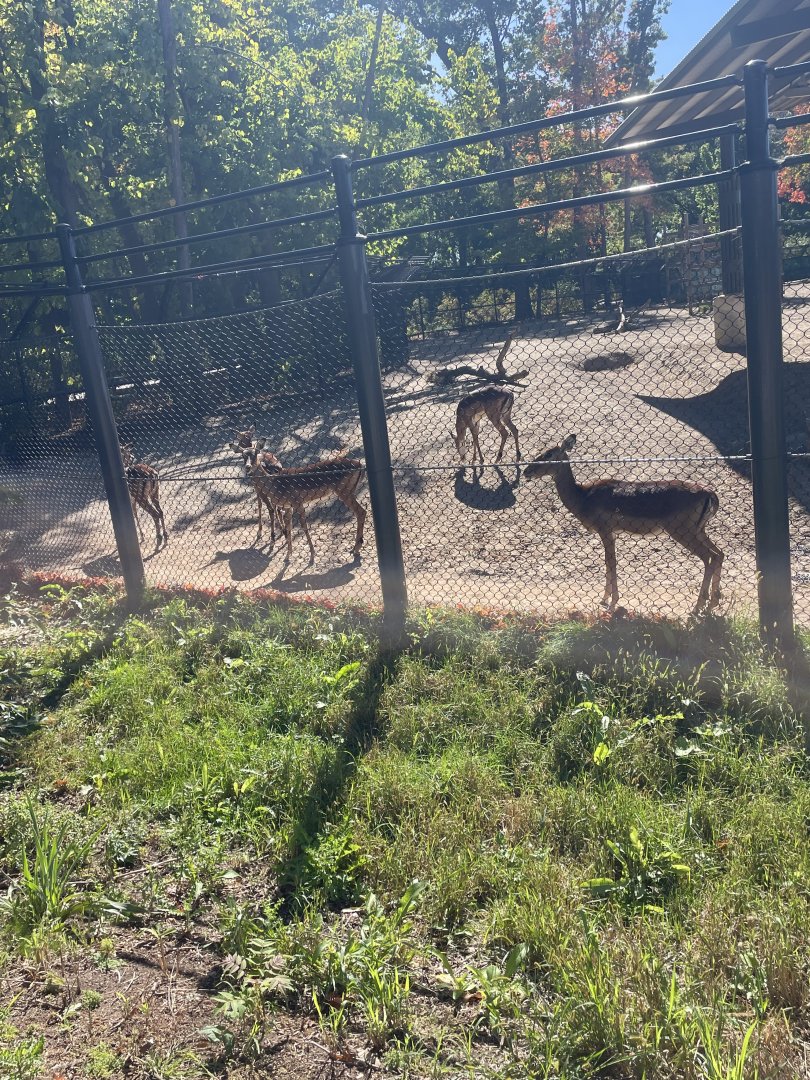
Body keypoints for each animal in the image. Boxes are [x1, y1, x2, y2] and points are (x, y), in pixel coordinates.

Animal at [237, 438, 366, 563]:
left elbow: (304, 526)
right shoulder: (288, 507)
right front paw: (287, 556)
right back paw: (354, 548)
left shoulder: (298, 504)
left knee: (361, 512)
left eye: (255, 454)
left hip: (345, 493)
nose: (248, 467)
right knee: (361, 512)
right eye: (243, 455)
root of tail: (359, 465)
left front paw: (312, 555)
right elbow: (289, 528)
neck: (275, 483)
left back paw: (356, 549)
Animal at [522, 434, 723, 615]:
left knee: (708, 556)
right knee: (719, 554)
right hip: (698, 529)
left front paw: (611, 604)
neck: (583, 497)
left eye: (549, 453)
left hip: (682, 530)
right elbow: (608, 562)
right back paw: (712, 604)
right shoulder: (611, 532)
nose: (527, 471)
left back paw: (697, 607)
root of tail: (710, 493)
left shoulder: (605, 529)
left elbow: (611, 561)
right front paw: (604, 599)